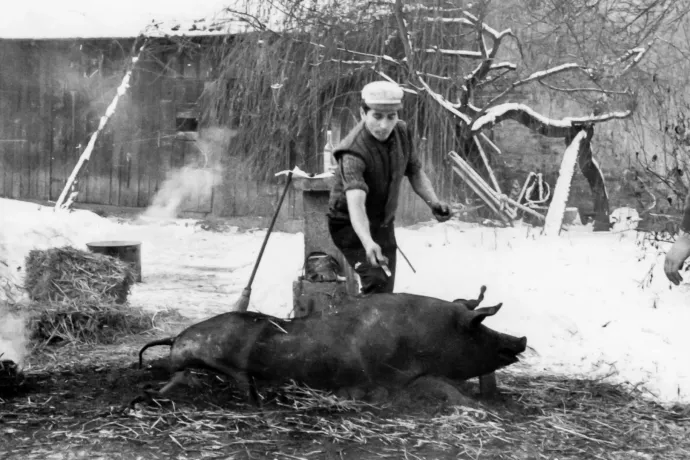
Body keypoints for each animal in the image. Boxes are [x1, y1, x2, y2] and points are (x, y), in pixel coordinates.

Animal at [134, 286, 524, 404]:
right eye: (478, 326)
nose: (521, 339)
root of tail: (176, 338)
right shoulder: (396, 378)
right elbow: (444, 389)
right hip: (214, 359)